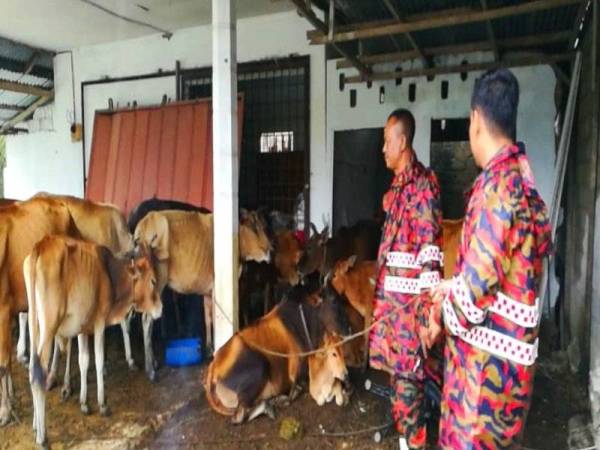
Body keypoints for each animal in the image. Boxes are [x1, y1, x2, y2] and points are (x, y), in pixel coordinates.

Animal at [0, 197, 79, 426]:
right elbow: (7, 360)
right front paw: (12, 399)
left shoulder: (3, 308)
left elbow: (2, 363)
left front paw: (5, 410)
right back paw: (52, 377)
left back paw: (65, 385)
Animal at [25, 237, 162, 448]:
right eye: (153, 281)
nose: (160, 309)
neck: (110, 274)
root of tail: (40, 246)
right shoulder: (99, 322)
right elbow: (98, 361)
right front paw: (102, 404)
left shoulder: (82, 328)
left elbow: (83, 361)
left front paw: (84, 403)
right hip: (49, 327)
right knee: (38, 370)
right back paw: (42, 436)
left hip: (36, 325)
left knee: (32, 369)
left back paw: (34, 424)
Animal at [134, 209, 272, 382]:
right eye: (253, 227)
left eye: (264, 225)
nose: (270, 250)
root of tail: (146, 221)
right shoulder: (216, 287)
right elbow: (215, 318)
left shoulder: (207, 291)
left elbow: (207, 318)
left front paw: (208, 348)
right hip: (155, 283)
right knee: (147, 319)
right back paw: (150, 369)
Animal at [205, 284, 350, 424]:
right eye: (333, 301)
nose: (348, 330)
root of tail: (213, 370)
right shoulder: (297, 375)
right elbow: (299, 388)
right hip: (259, 367)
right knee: (238, 417)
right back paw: (272, 404)